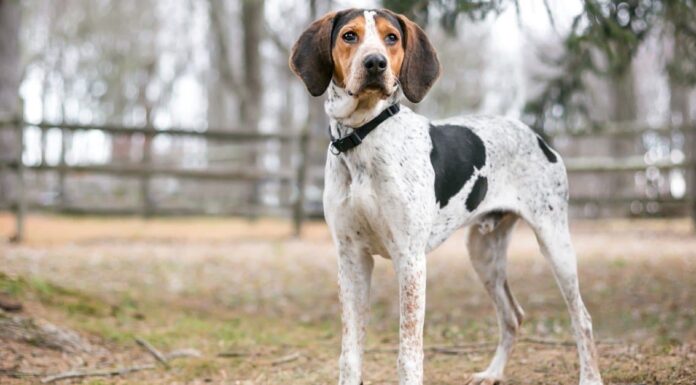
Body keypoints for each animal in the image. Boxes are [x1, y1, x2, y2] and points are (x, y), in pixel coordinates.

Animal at [290, 6, 604, 384]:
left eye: (391, 38)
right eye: (349, 36)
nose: (375, 63)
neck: (364, 136)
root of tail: (538, 137)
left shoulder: (410, 259)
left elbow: (409, 355)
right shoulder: (351, 258)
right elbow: (350, 355)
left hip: (555, 243)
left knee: (582, 318)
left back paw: (590, 377)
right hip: (483, 253)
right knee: (512, 316)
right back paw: (492, 373)